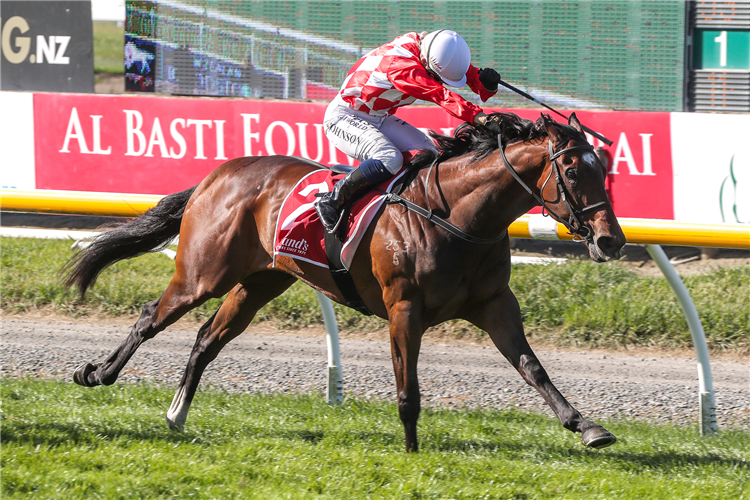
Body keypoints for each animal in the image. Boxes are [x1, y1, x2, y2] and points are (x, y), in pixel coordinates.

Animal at [63, 111, 628, 452]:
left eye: (605, 170)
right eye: (573, 171)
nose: (611, 241)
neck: (454, 215)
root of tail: (215, 177)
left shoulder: (494, 303)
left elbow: (533, 368)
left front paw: (588, 427)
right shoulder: (404, 309)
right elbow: (408, 387)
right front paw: (412, 450)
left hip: (260, 281)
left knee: (207, 339)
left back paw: (176, 415)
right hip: (204, 272)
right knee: (150, 318)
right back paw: (97, 374)